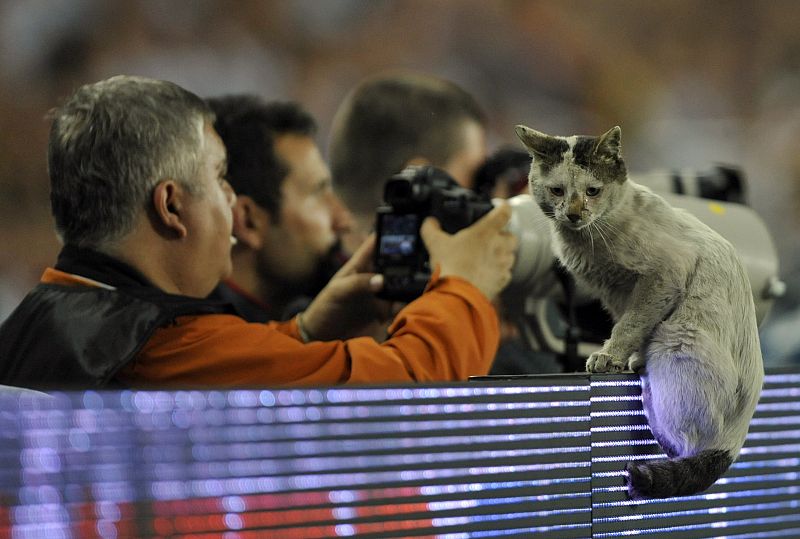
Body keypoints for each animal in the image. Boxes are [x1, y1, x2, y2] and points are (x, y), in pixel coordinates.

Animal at [516, 124, 764, 500]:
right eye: (557, 190)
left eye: (592, 191)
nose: (573, 214)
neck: (588, 242)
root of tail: (737, 439)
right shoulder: (616, 293)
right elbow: (630, 324)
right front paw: (623, 358)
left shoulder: (664, 275)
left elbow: (630, 325)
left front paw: (608, 358)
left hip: (675, 338)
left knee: (682, 443)